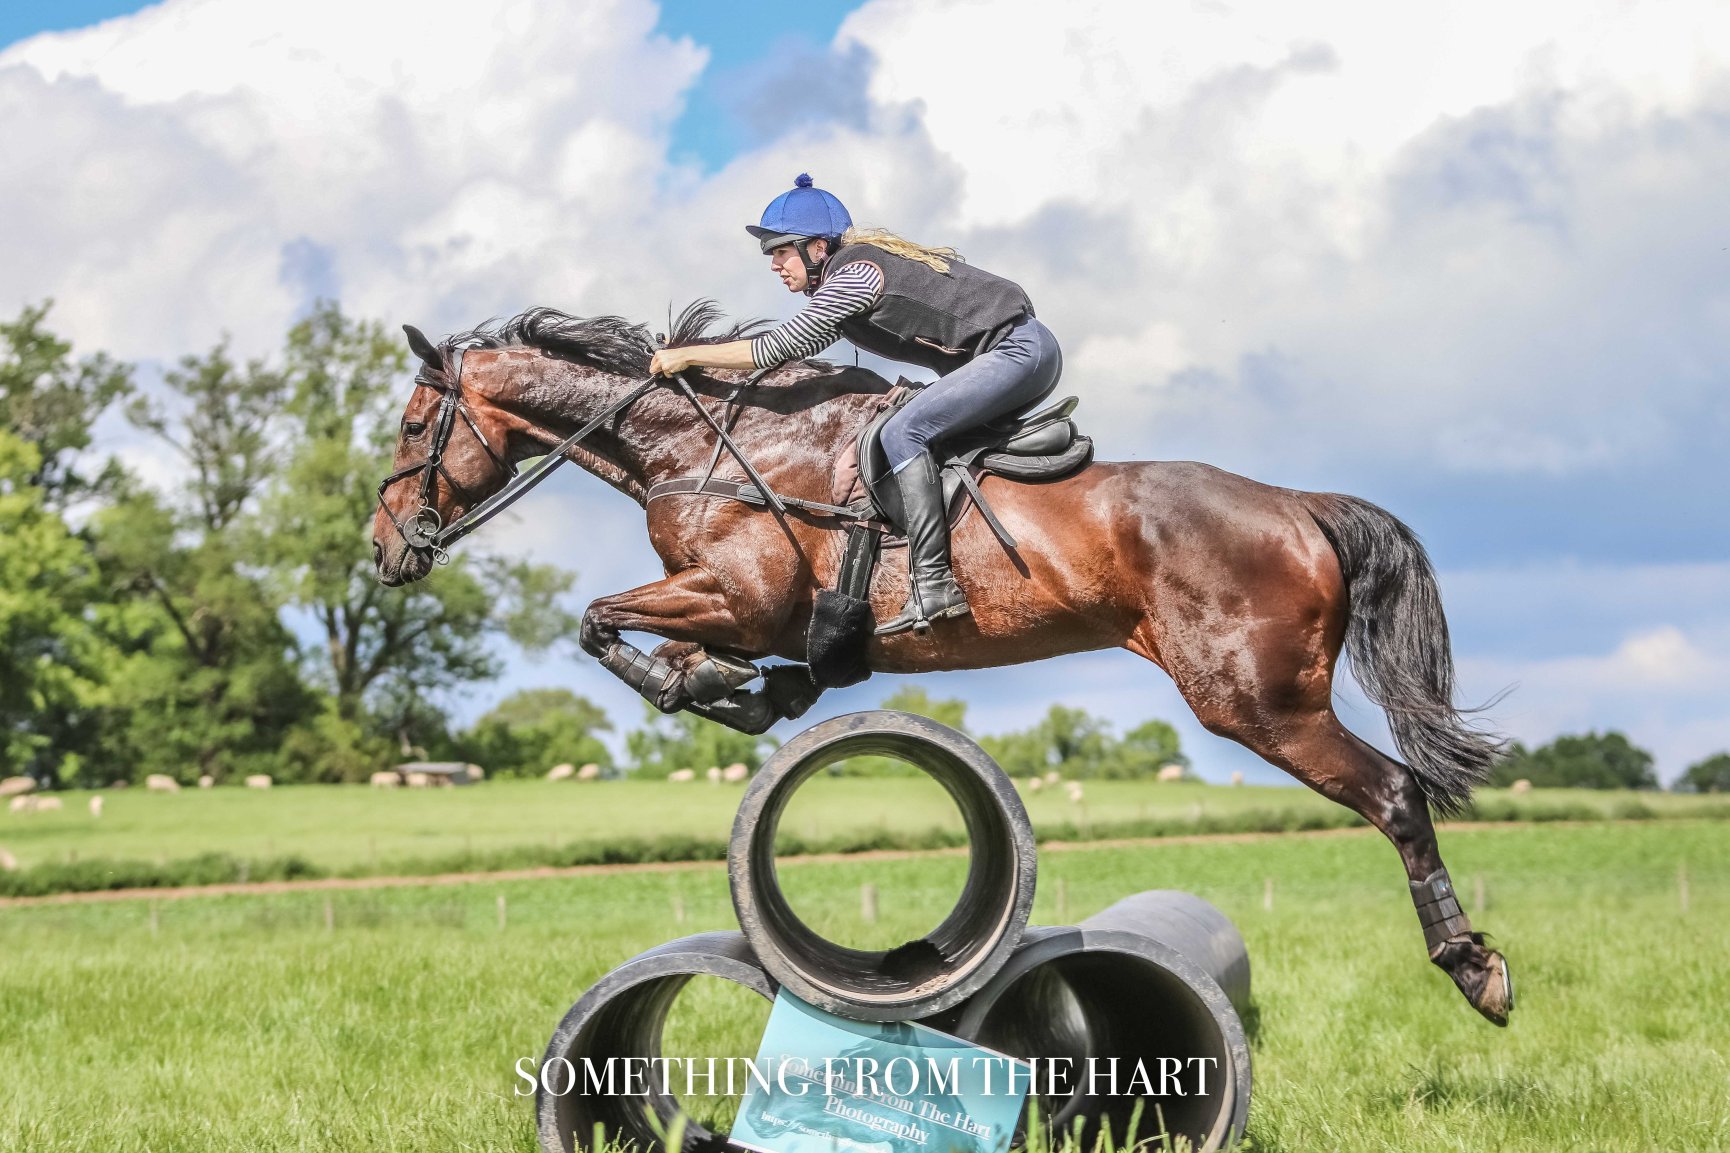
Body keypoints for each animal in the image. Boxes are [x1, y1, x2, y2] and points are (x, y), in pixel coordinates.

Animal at [371, 302, 1513, 1026]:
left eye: (415, 424)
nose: (386, 552)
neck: (697, 446)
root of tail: (1298, 505)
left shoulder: (743, 598)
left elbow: (598, 621)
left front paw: (704, 688)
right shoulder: (733, 611)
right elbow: (662, 641)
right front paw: (739, 689)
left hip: (1256, 702)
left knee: (1395, 794)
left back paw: (1474, 969)